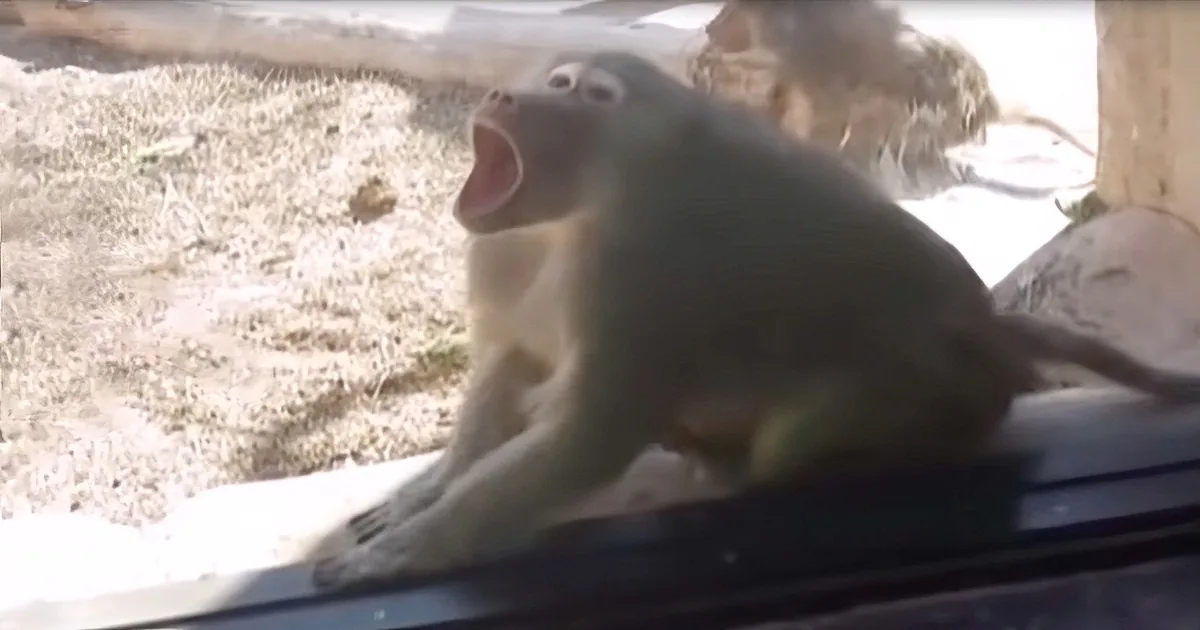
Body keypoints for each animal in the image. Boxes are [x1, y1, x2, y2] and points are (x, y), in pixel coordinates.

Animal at [311, 51, 1200, 591]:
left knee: (797, 437)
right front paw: (424, 494)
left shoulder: (640, 265)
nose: (506, 96)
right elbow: (515, 367)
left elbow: (591, 434)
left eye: (587, 95)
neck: (588, 200)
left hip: (931, 387)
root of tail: (986, 330)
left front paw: (407, 550)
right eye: (555, 82)